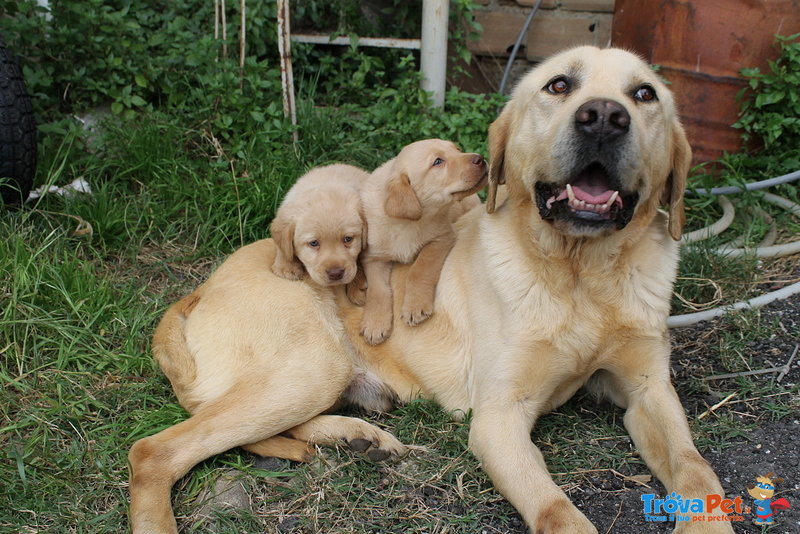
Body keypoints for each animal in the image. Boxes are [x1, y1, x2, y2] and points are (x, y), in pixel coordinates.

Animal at [358, 140, 484, 346]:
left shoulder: (442, 237)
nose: (480, 158)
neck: (407, 224)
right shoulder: (373, 257)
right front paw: (375, 323)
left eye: (457, 150)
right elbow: (377, 290)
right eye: (438, 162)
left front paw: (414, 306)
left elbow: (420, 269)